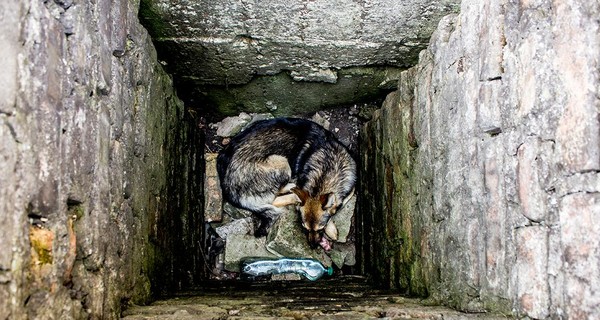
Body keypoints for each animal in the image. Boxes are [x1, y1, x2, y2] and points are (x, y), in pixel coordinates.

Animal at [217, 116, 354, 249]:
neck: (328, 164)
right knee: (277, 198)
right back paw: (291, 188)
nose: (313, 246)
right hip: (281, 161)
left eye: (320, 229)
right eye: (304, 228)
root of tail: (230, 191)